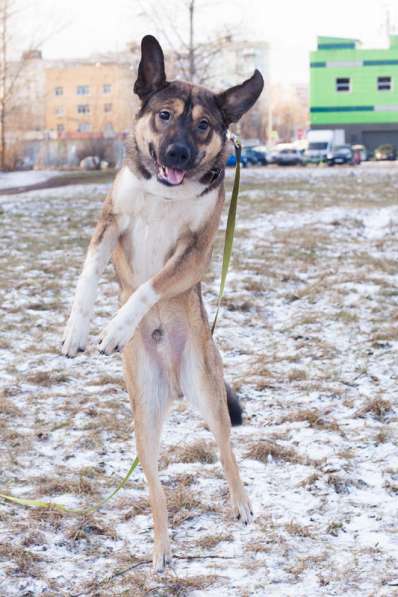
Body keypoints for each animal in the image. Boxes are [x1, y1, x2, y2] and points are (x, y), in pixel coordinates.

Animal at [61, 35, 262, 572]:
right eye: (165, 115)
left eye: (204, 125)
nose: (177, 151)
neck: (163, 194)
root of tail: (173, 383)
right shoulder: (109, 222)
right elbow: (89, 273)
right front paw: (78, 330)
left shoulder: (194, 254)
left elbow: (151, 285)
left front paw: (117, 327)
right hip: (145, 417)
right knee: (153, 481)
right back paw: (162, 547)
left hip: (209, 392)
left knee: (225, 450)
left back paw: (241, 504)